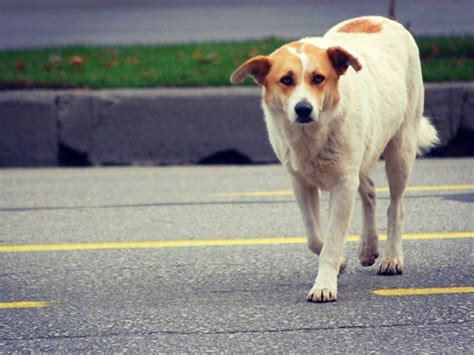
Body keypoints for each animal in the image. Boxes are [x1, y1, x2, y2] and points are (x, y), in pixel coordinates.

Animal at [231, 16, 438, 304]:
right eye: (286, 80)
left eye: (318, 78)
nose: (303, 109)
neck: (311, 136)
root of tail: (380, 18)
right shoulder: (301, 183)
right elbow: (315, 238)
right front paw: (340, 263)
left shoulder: (343, 185)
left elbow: (331, 240)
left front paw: (324, 285)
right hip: (361, 156)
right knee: (369, 191)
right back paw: (368, 248)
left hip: (401, 148)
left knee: (396, 206)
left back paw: (391, 257)